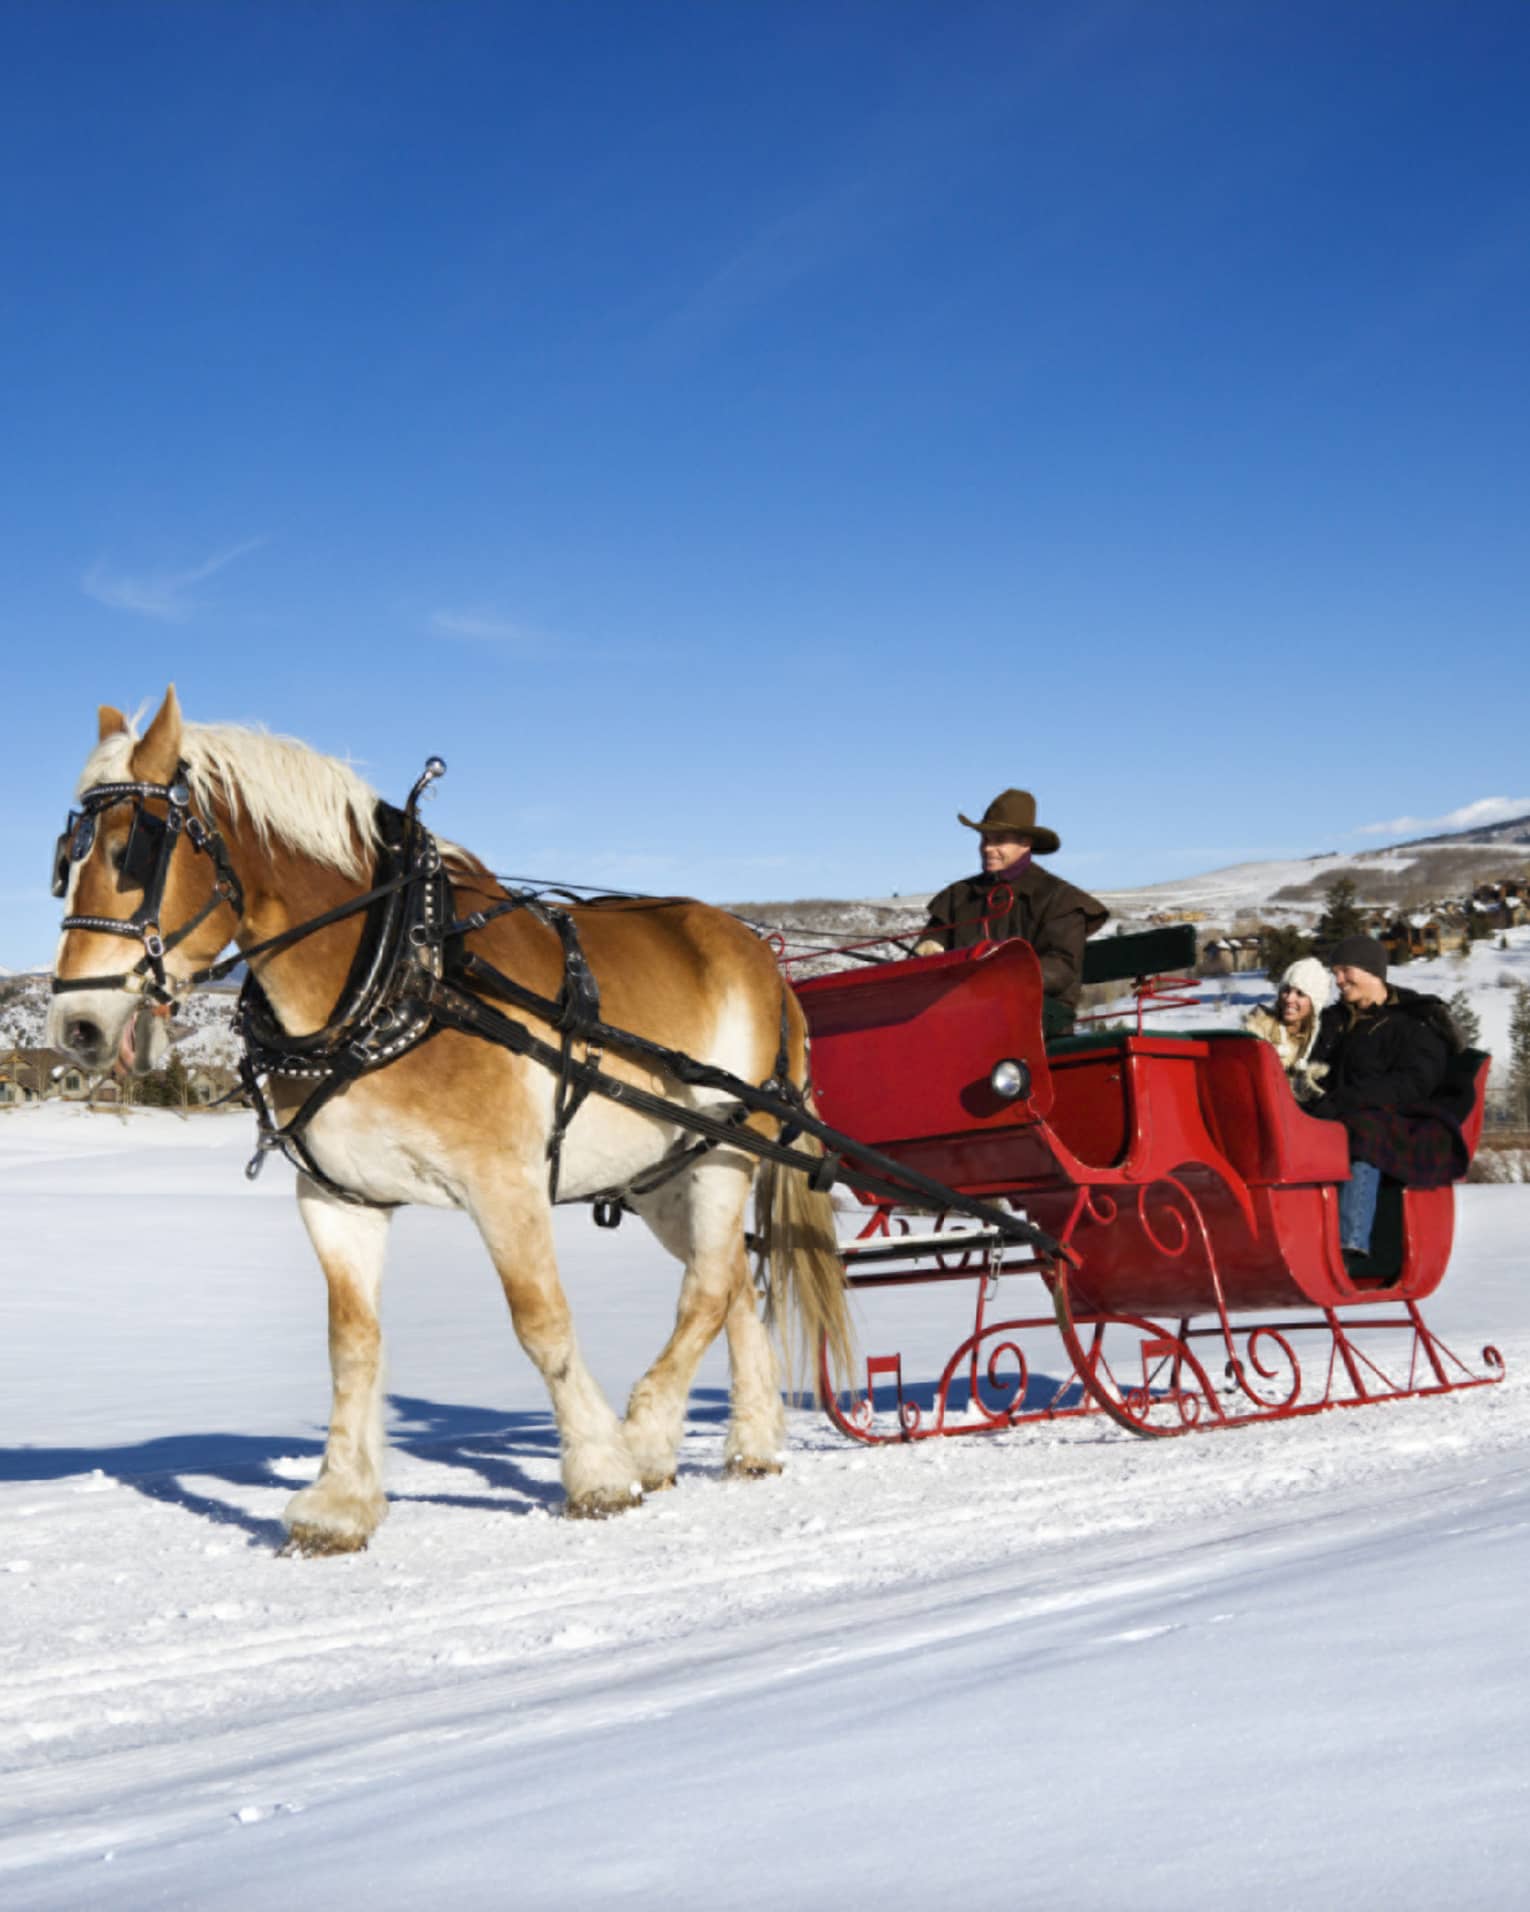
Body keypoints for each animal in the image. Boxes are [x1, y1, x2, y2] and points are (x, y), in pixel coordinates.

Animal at [47, 687, 851, 1554]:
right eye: (65, 861)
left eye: (132, 850)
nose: (77, 1027)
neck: (398, 971)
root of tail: (763, 957)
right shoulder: (339, 1199)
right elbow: (352, 1344)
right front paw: (340, 1503)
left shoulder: (505, 1183)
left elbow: (541, 1322)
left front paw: (600, 1471)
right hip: (662, 1177)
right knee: (730, 1279)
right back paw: (751, 1441)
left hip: (725, 1155)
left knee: (705, 1289)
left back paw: (645, 1437)